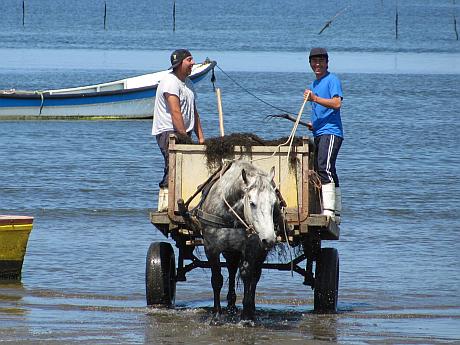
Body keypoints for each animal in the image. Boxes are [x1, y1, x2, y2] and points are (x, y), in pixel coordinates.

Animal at [197, 159, 278, 322]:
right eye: (252, 203)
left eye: (274, 203)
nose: (269, 239)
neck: (230, 215)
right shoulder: (211, 248)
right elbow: (217, 279)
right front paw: (216, 315)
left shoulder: (252, 247)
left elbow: (247, 275)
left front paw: (246, 317)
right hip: (230, 250)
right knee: (232, 268)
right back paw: (231, 305)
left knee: (255, 276)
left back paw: (250, 309)